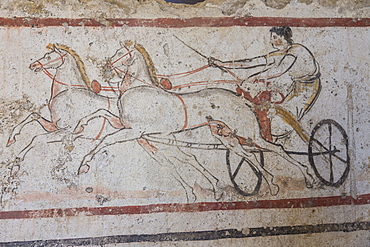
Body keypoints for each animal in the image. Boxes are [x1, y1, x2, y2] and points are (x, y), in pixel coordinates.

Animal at [74, 41, 316, 197]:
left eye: (121, 53)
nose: (105, 69)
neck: (139, 88)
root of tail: (241, 100)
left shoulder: (136, 131)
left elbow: (105, 140)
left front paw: (84, 164)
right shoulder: (128, 126)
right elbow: (100, 113)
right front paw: (78, 128)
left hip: (248, 133)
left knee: (276, 149)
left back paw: (308, 178)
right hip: (226, 137)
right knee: (249, 155)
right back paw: (272, 186)